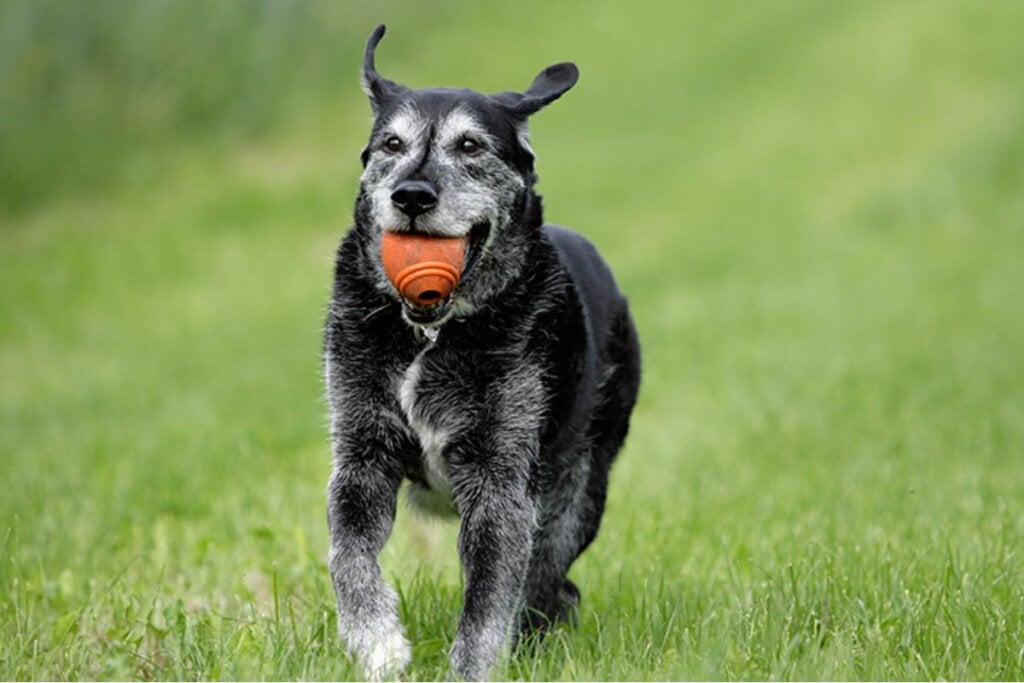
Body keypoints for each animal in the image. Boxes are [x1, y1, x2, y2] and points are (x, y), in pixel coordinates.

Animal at [323, 24, 638, 679]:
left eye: (470, 145)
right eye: (391, 143)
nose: (411, 195)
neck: (431, 334)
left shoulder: (501, 482)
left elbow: (491, 597)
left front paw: (473, 665)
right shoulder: (361, 455)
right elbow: (348, 554)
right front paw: (378, 643)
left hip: (579, 489)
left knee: (548, 579)